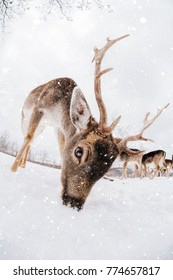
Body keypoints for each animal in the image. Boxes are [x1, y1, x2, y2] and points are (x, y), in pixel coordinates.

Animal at [10, 34, 132, 210]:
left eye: (108, 166)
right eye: (79, 151)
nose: (74, 202)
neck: (57, 107)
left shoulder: (58, 127)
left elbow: (61, 149)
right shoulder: (40, 107)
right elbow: (28, 136)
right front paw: (12, 170)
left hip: (43, 127)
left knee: (32, 141)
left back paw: (23, 164)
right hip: (25, 119)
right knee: (28, 136)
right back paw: (19, 164)